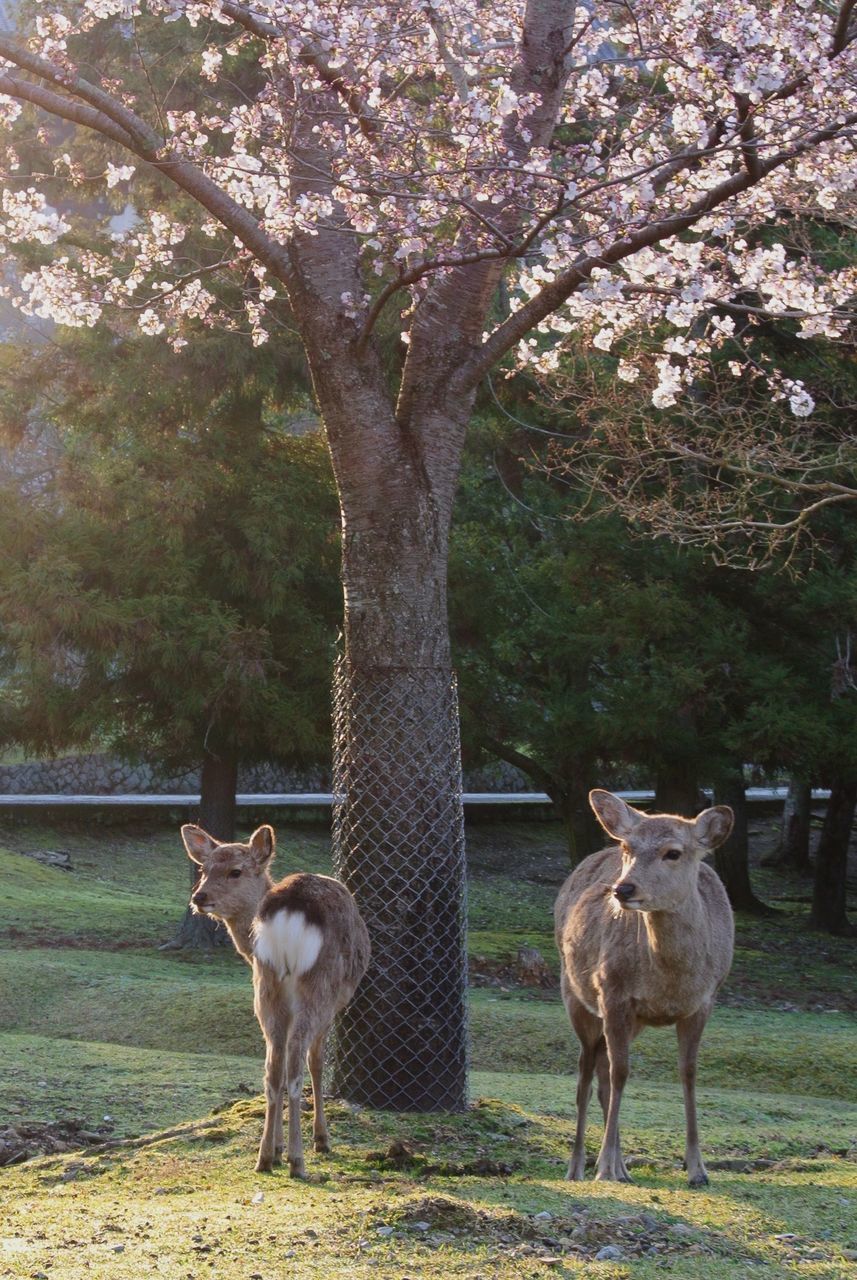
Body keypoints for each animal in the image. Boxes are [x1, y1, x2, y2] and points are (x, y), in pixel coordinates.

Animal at [181, 824, 368, 1172]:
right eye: (204, 869)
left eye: (235, 871)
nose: (199, 897)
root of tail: (290, 912)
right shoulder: (331, 1007)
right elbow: (317, 1063)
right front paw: (320, 1140)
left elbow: (277, 1072)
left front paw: (277, 1147)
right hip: (318, 986)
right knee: (295, 1064)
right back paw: (298, 1159)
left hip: (265, 988)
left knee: (272, 1068)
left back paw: (266, 1157)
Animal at [557, 788, 736, 1187]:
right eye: (628, 847)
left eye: (674, 852)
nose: (623, 888)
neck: (669, 981)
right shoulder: (613, 992)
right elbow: (621, 1073)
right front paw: (603, 1167)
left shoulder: (705, 1000)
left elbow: (689, 1073)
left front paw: (697, 1169)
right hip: (574, 994)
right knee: (587, 1072)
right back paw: (578, 1167)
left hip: (631, 1021)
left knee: (602, 1069)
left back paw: (621, 1167)